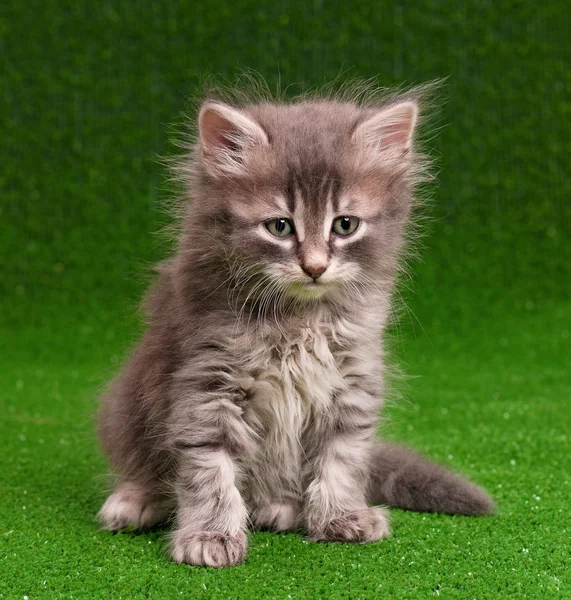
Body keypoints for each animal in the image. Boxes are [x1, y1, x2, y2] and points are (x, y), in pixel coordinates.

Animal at [96, 81, 494, 568]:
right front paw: (210, 534)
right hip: (127, 404)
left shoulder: (353, 379)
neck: (300, 320)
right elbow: (210, 467)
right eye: (280, 227)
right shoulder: (206, 380)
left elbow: (342, 457)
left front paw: (342, 516)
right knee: (142, 467)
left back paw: (280, 506)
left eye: (345, 224)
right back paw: (135, 501)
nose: (315, 267)